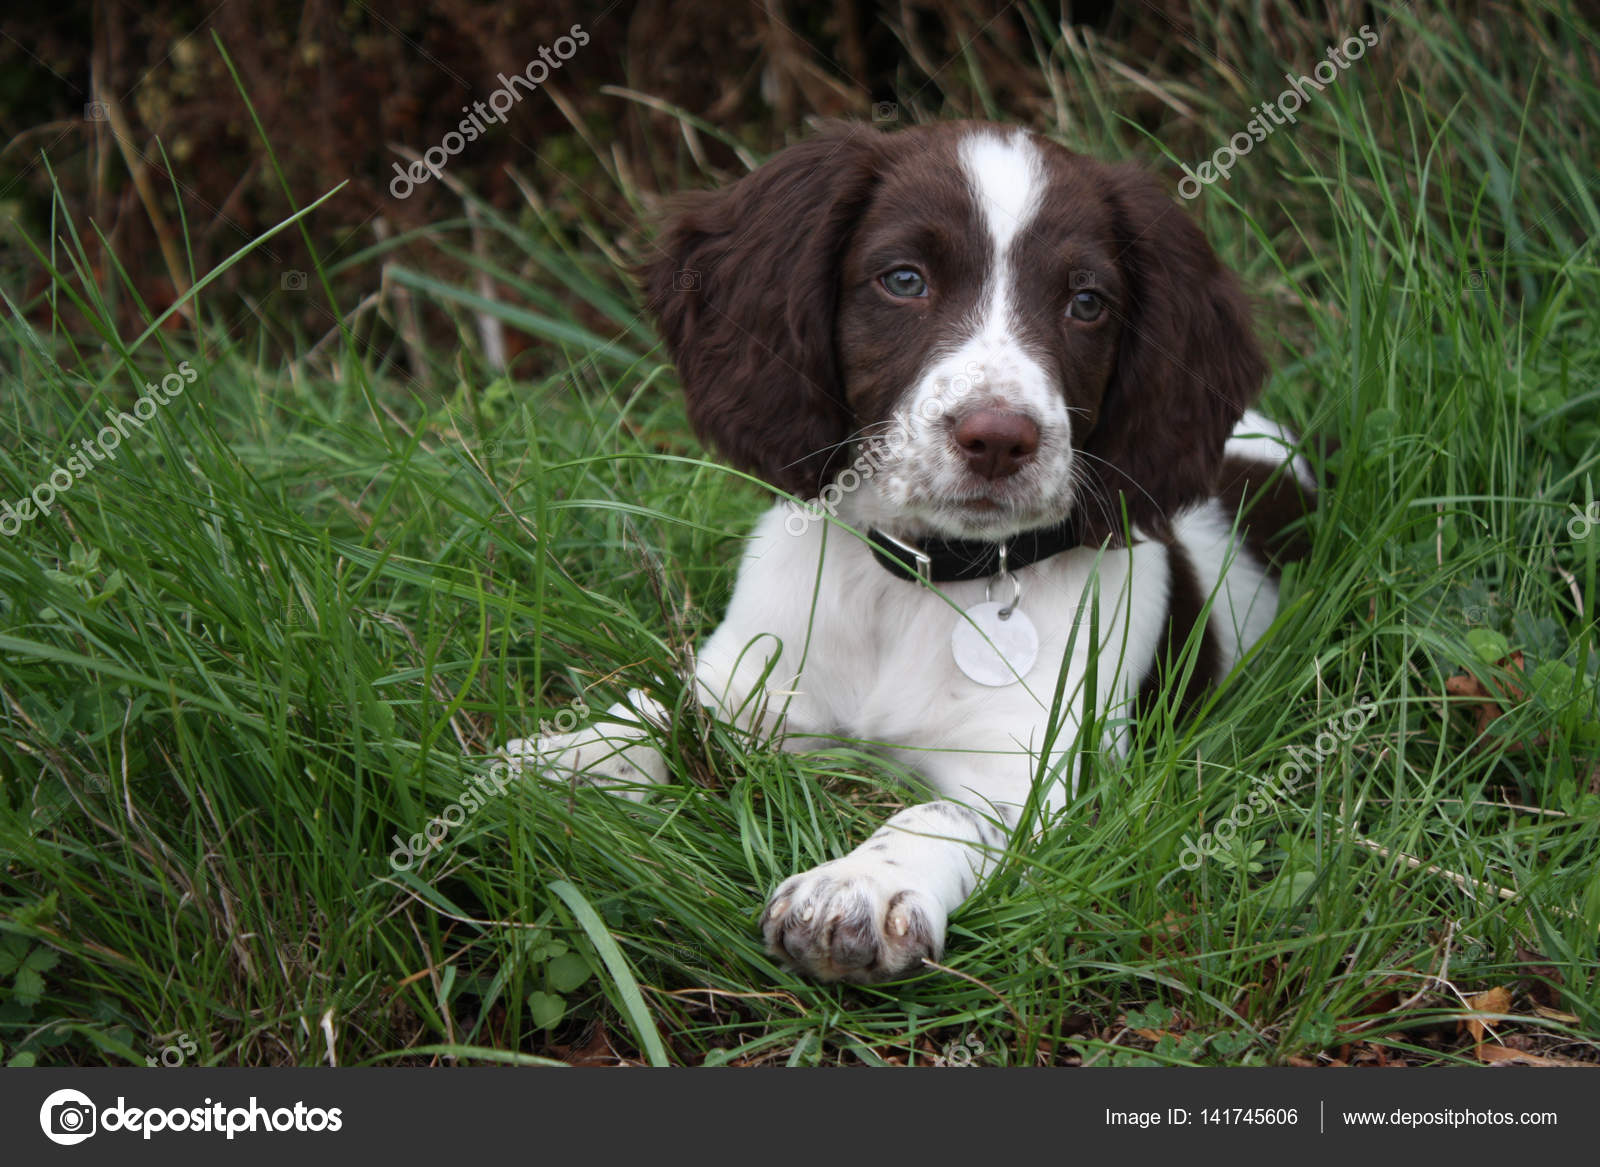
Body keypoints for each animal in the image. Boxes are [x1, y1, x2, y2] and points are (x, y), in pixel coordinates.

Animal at [505, 118, 1318, 979]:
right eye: (903, 279)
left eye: (1087, 302)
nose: (999, 438)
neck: (922, 580)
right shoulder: (747, 687)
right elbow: (658, 714)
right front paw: (557, 761)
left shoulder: (1041, 776)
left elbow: (935, 812)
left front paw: (854, 887)